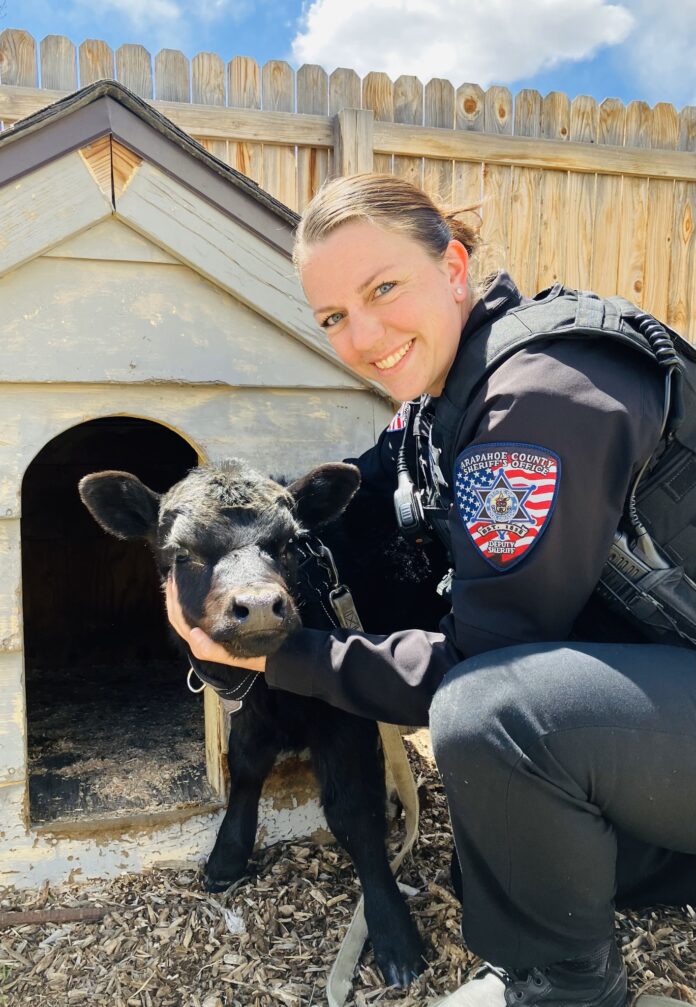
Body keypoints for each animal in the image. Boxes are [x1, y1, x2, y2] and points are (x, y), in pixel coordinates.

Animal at [79, 459, 448, 987]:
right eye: (182, 552)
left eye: (289, 543)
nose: (256, 608)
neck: (272, 689)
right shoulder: (251, 715)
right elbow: (246, 768)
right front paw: (227, 856)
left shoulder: (345, 721)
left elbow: (354, 814)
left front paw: (393, 935)